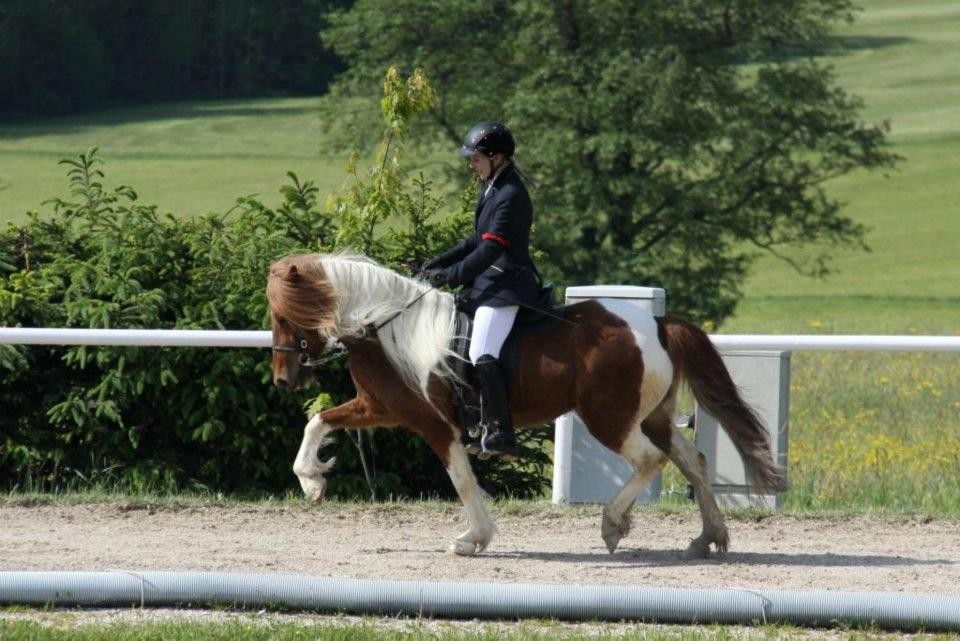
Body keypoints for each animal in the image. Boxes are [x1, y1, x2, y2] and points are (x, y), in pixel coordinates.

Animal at [266, 252, 784, 556]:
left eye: (281, 313)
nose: (284, 378)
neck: (387, 325)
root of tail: (656, 324)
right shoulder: (381, 405)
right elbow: (318, 421)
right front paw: (312, 479)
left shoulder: (432, 425)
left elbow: (462, 480)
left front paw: (473, 539)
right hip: (651, 415)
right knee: (691, 459)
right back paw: (708, 538)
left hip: (609, 419)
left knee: (651, 460)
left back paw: (613, 524)